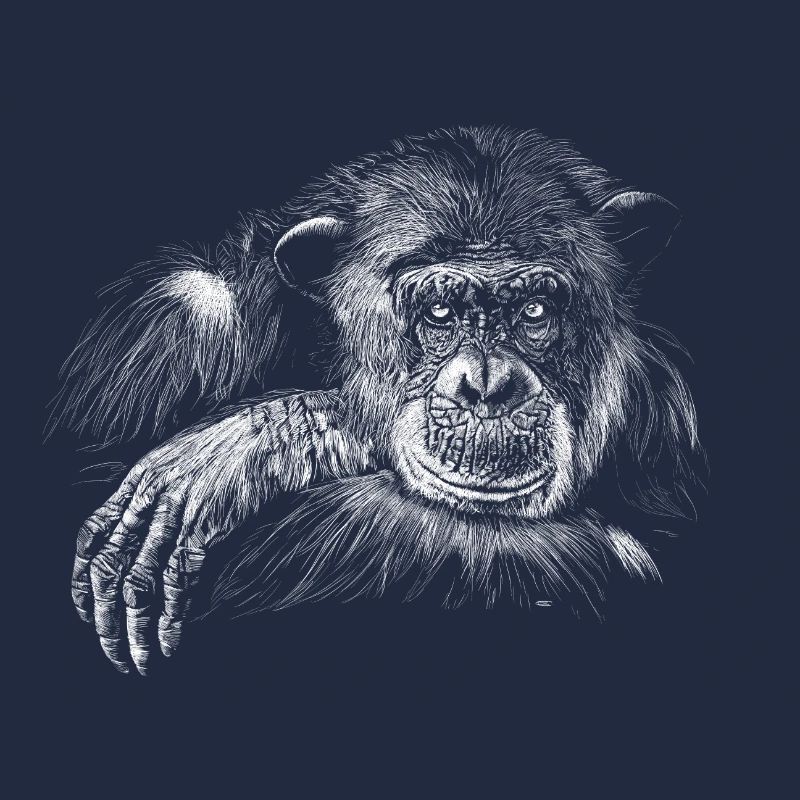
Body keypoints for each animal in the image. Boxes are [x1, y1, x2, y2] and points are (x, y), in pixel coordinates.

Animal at [50, 126, 702, 675]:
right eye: (439, 312)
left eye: (534, 311)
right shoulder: (170, 325)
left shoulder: (660, 407)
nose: (488, 385)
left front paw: (248, 445)